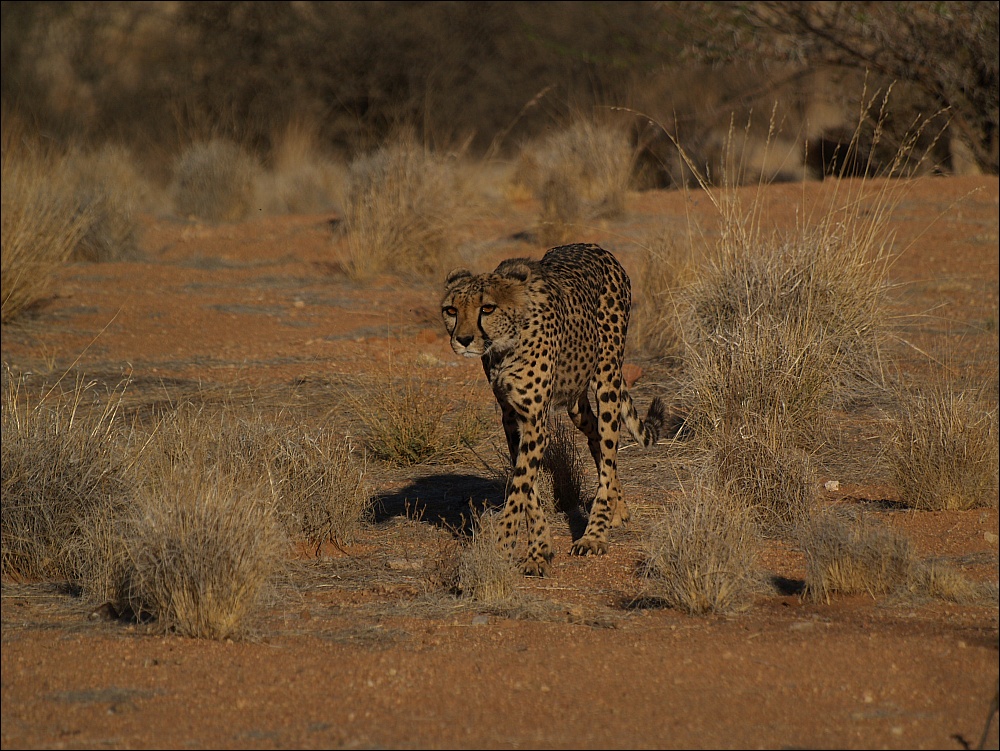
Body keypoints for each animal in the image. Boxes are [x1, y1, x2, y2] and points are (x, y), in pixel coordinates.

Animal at [440, 241, 664, 576]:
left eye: (487, 308)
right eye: (451, 310)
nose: (464, 340)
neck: (506, 345)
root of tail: (591, 245)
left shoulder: (534, 420)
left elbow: (520, 485)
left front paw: (503, 545)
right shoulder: (513, 419)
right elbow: (527, 487)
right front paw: (539, 550)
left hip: (607, 378)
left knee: (609, 444)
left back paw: (595, 534)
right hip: (575, 400)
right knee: (598, 442)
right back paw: (618, 507)